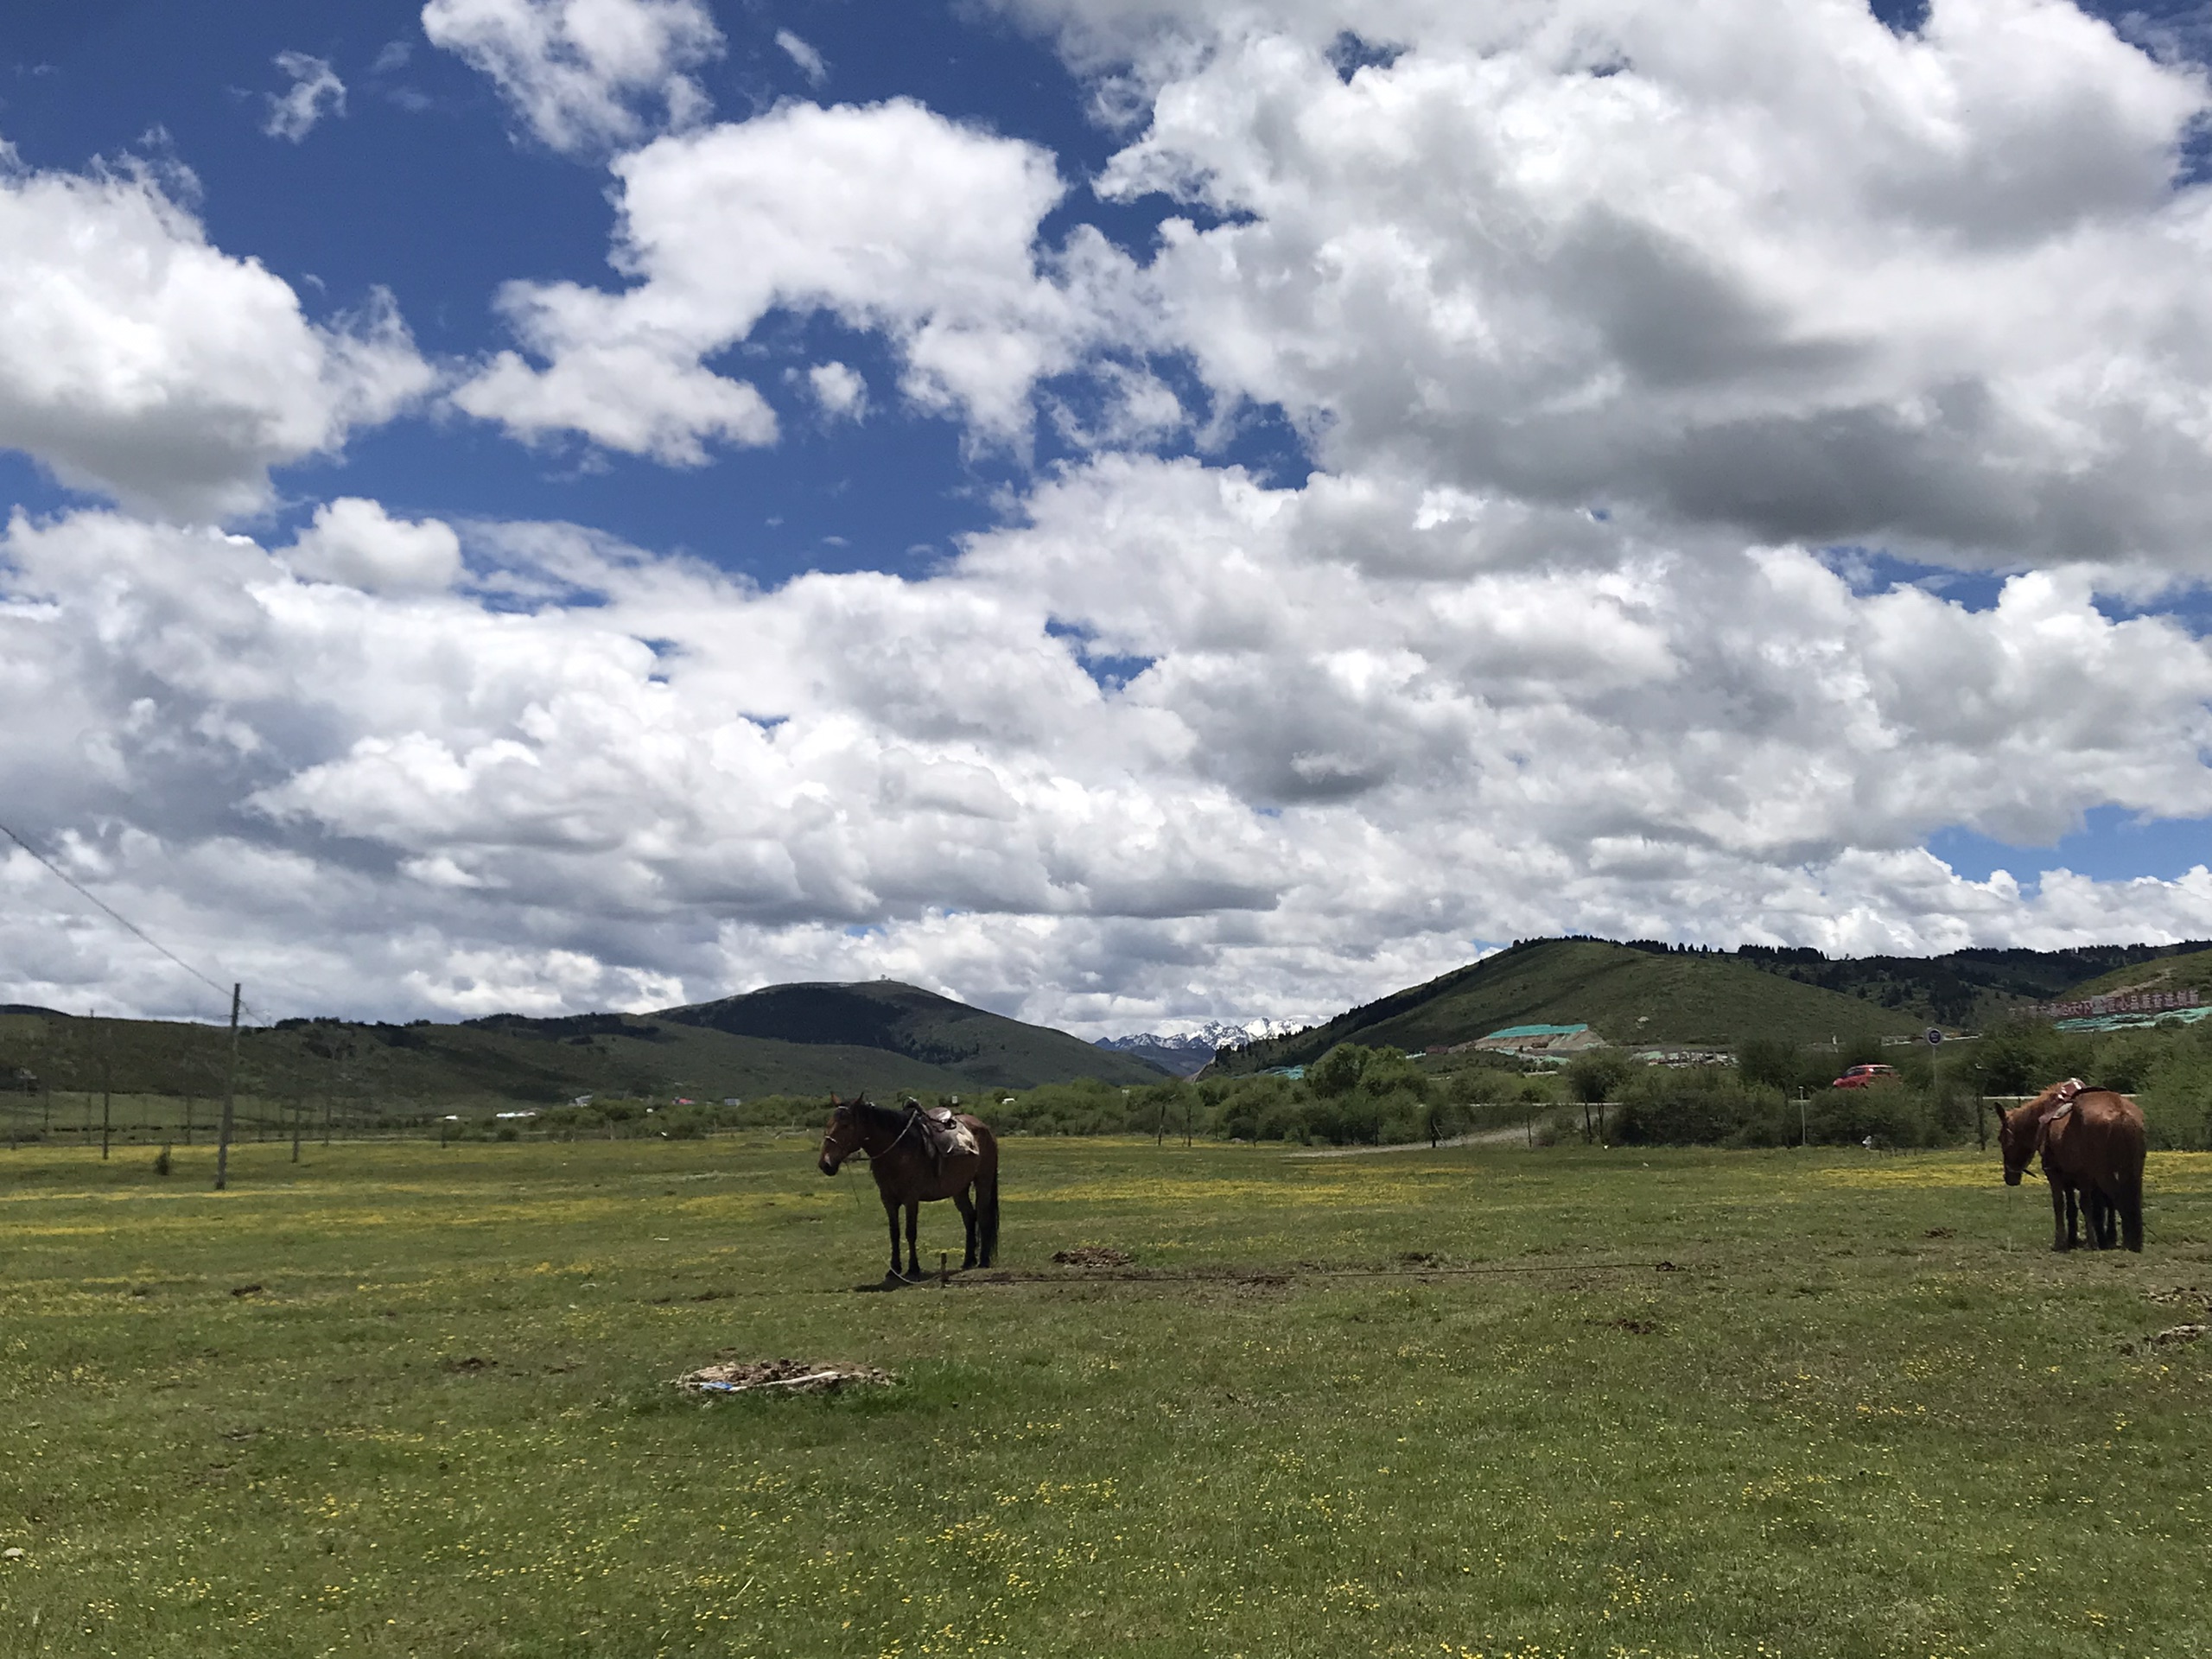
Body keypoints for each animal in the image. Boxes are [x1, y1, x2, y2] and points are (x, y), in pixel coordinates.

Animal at [818, 1096, 1000, 1282]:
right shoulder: (888, 1200)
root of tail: (983, 1127)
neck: (897, 1151)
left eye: (845, 1125)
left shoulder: (911, 1199)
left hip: (983, 1181)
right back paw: (968, 1260)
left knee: (983, 1216)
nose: (825, 1164)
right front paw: (894, 1269)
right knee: (969, 1217)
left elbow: (910, 1232)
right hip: (959, 1188)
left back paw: (983, 1260)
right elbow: (894, 1233)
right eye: (829, 1123)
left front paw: (913, 1268)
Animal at [1991, 1084, 2141, 1256]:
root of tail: (2120, 1112)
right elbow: (2074, 1208)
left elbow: (2062, 1205)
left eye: (2001, 1138)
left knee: (2118, 1200)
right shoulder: (2072, 1178)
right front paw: (2075, 1239)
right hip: (2132, 1171)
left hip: (2104, 1174)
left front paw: (2063, 1242)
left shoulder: (2058, 1174)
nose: (2009, 1178)